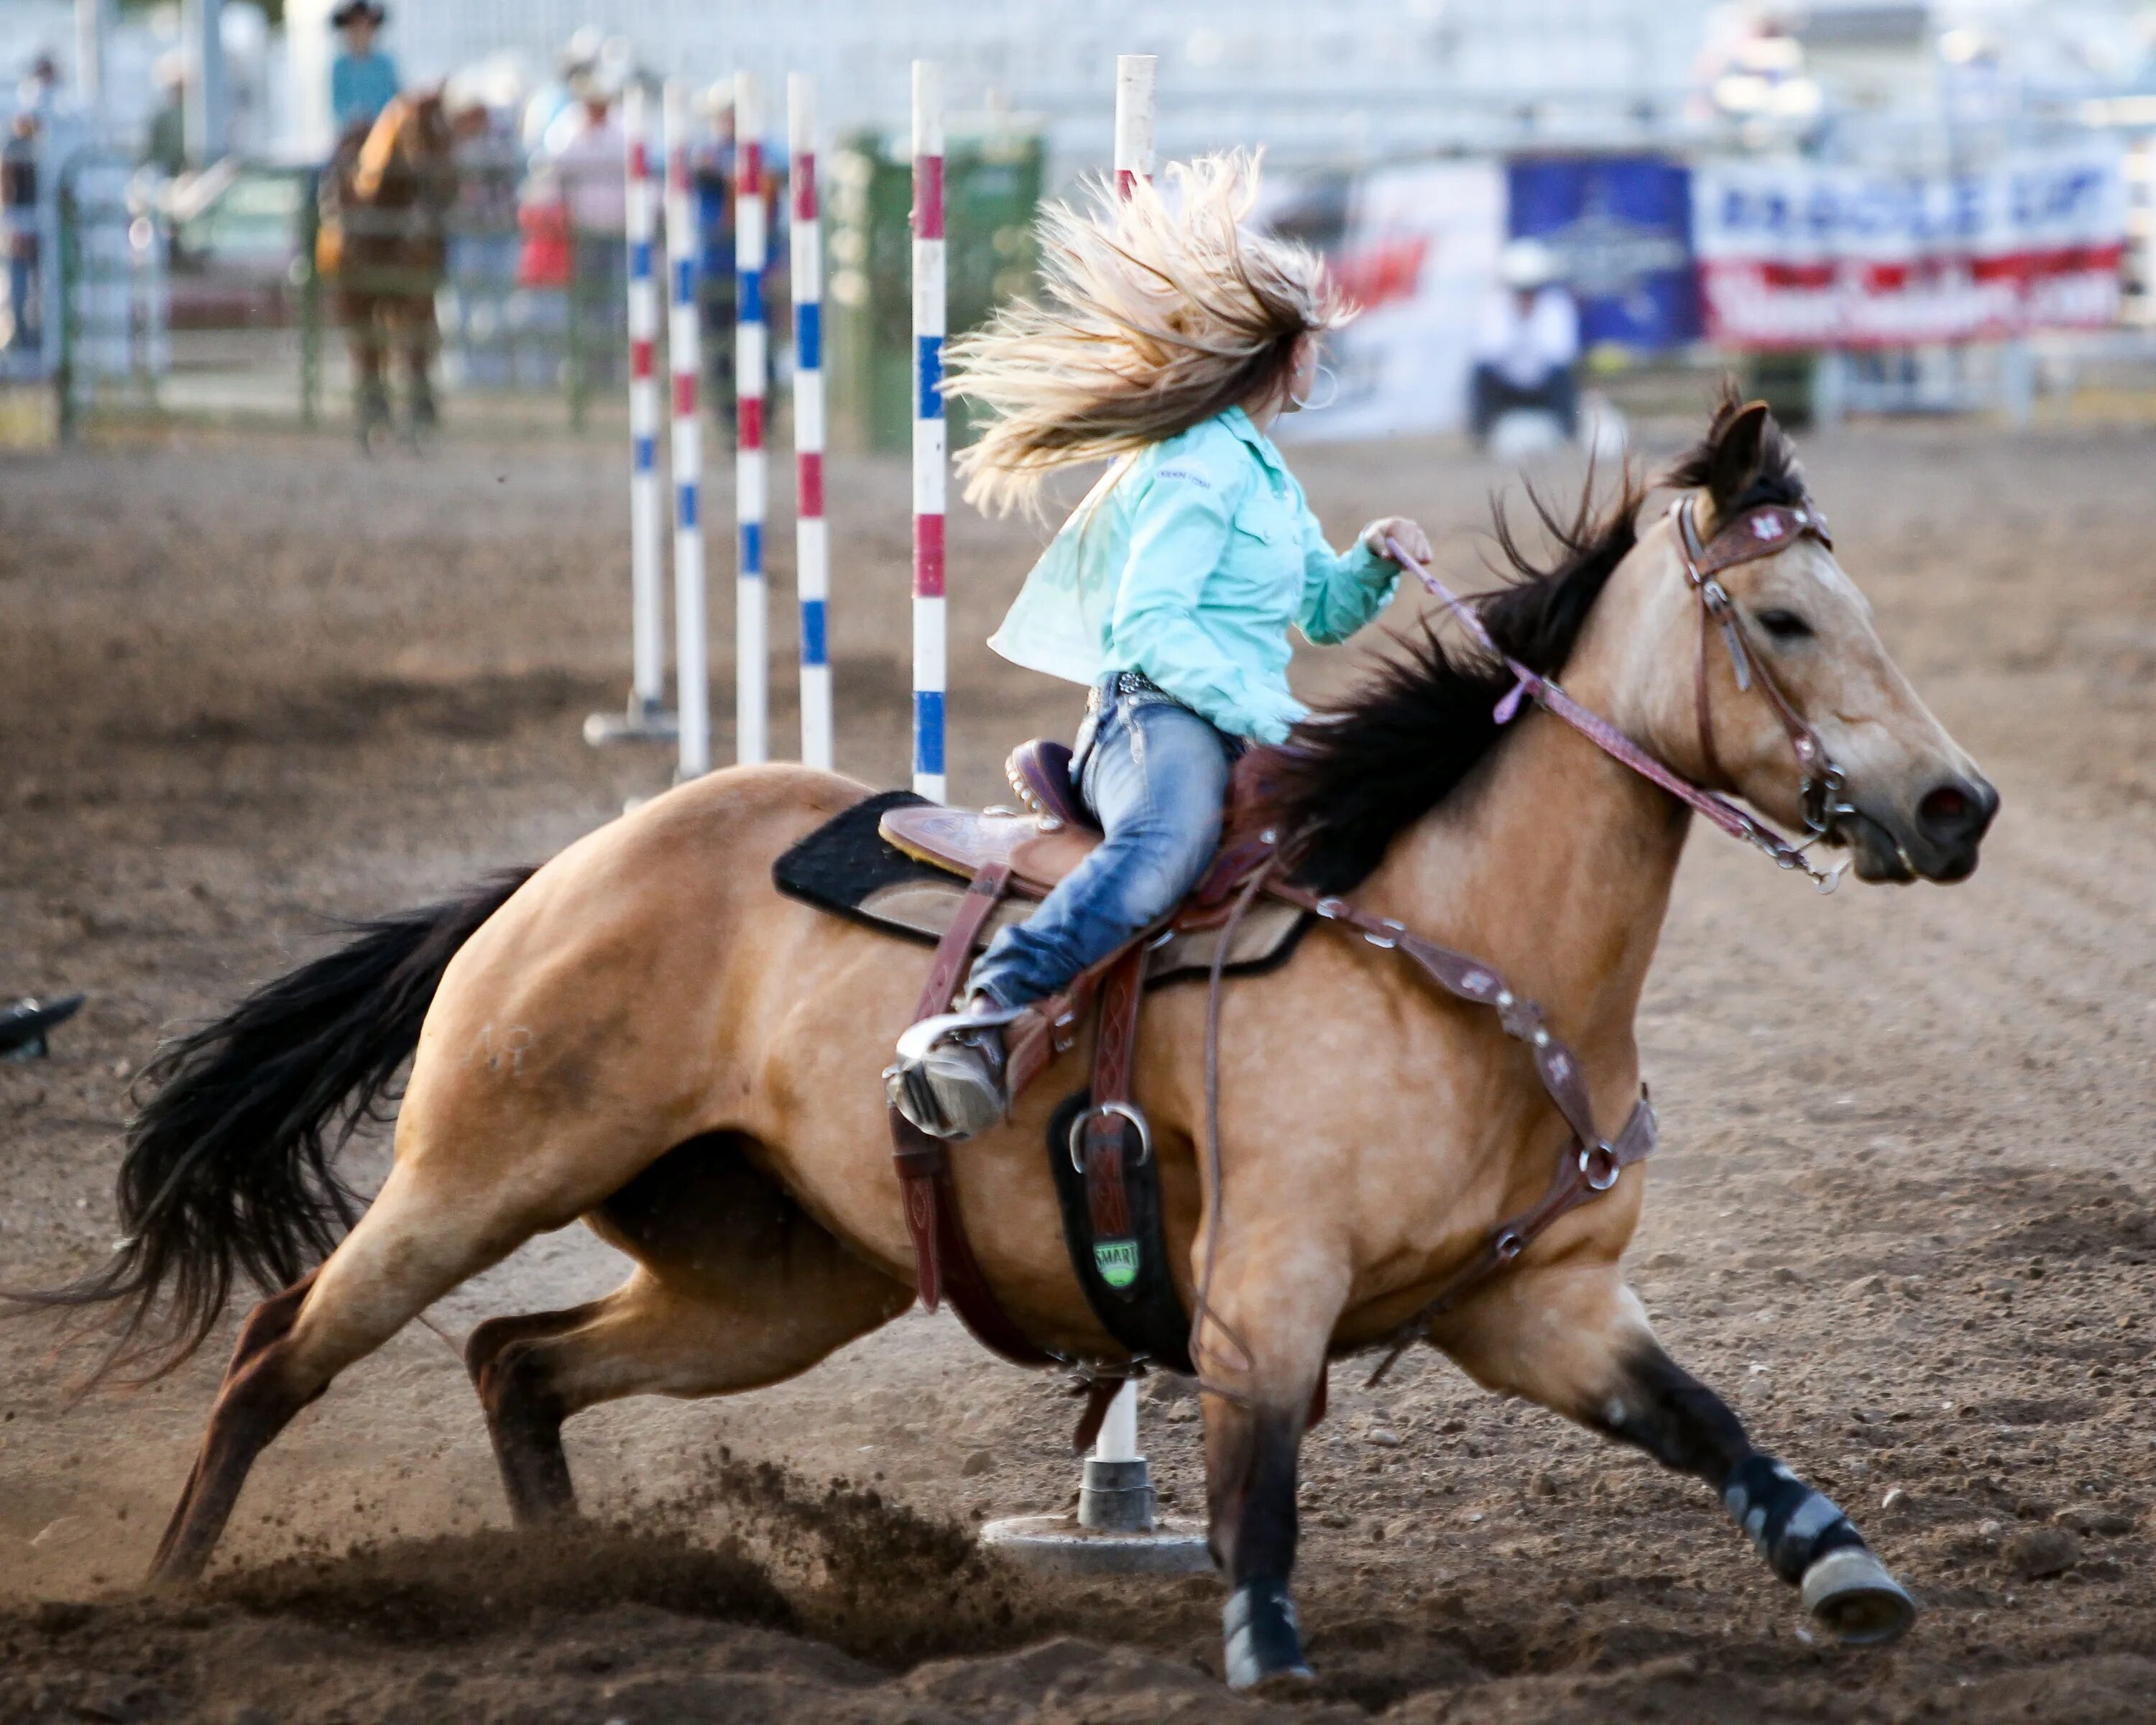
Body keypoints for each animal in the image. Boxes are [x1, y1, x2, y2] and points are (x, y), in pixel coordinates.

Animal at [21, 397, 2001, 1690]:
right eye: (1783, 614)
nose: (1956, 802)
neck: (1465, 942)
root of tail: (572, 864)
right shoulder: (1263, 1293)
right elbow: (1255, 1499)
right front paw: (1269, 1656)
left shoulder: (1542, 1302)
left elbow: (1710, 1422)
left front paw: (1846, 1570)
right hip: (475, 1171)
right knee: (281, 1349)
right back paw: (172, 1602)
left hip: (772, 1277)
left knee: (519, 1362)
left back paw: (584, 1585)